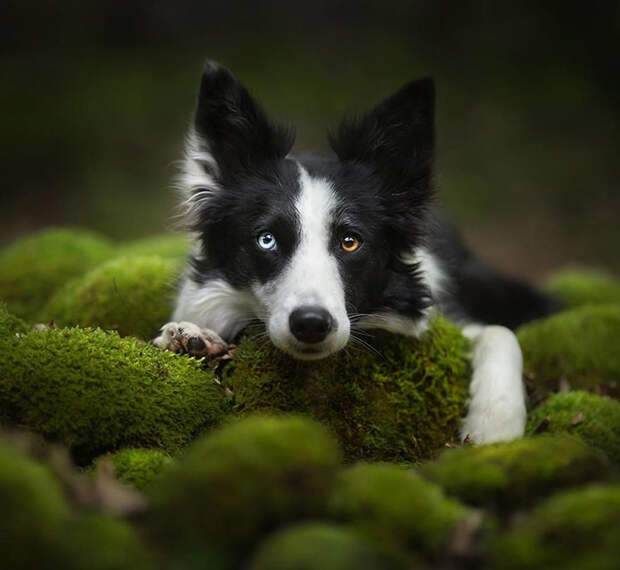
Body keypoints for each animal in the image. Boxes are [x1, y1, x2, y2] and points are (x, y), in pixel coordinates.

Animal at [151, 61, 556, 444]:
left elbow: (500, 334)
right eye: (266, 240)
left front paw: (495, 425)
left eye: (350, 241)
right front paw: (191, 338)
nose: (311, 324)